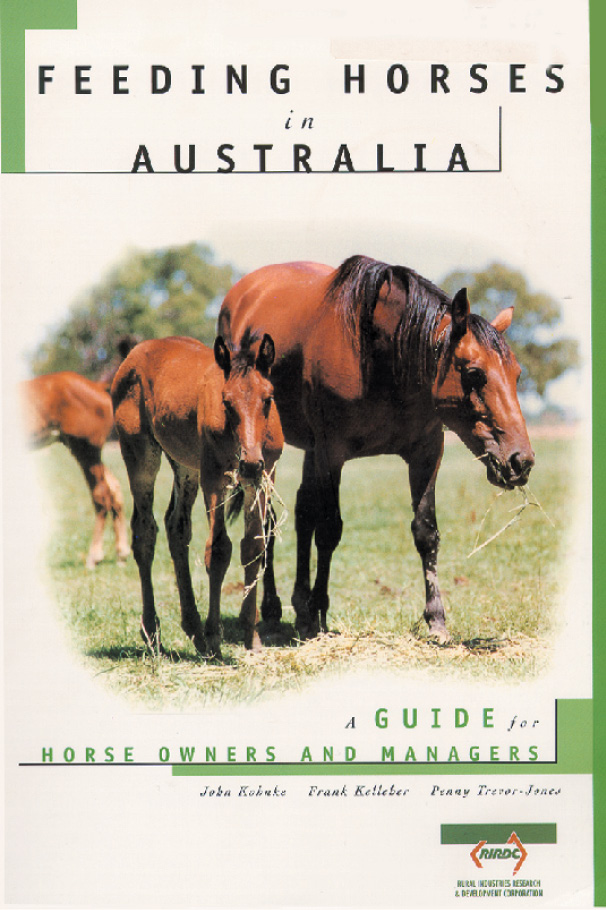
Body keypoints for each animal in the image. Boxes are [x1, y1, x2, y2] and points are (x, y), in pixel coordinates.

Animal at [21, 371, 131, 570]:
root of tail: (97, 386)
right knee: (114, 489)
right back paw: (121, 554)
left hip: (86, 451)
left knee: (102, 496)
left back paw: (94, 556)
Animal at [111, 333, 283, 656]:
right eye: (226, 402)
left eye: (268, 399)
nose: (249, 463)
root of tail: (136, 351)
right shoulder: (214, 478)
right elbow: (218, 550)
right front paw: (215, 637)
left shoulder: (264, 477)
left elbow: (254, 547)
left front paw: (251, 637)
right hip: (141, 454)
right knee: (145, 530)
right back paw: (153, 631)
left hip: (185, 467)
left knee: (176, 526)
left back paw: (193, 629)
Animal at [218, 255, 535, 642]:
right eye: (474, 373)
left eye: (517, 374)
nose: (521, 461)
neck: (381, 361)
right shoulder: (332, 454)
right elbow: (328, 530)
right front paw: (318, 612)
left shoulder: (426, 452)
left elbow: (426, 532)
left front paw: (436, 619)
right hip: (268, 451)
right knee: (267, 519)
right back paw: (273, 608)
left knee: (301, 513)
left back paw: (297, 605)